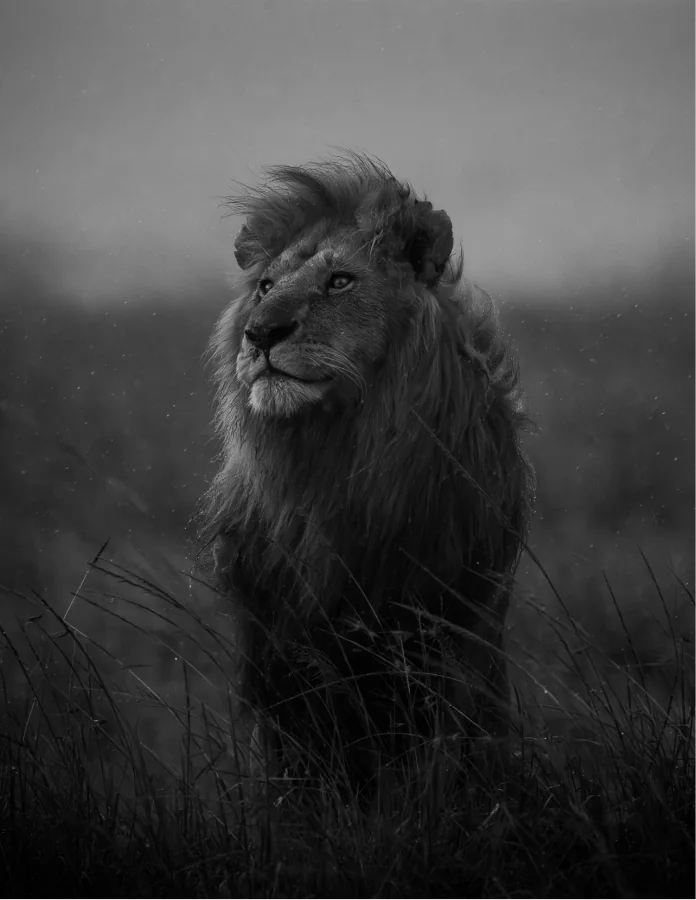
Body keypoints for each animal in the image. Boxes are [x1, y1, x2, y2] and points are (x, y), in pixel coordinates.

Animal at [200, 152, 534, 799]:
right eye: (266, 287)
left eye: (339, 282)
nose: (261, 332)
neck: (331, 456)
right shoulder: (277, 643)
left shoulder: (446, 621)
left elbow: (443, 754)